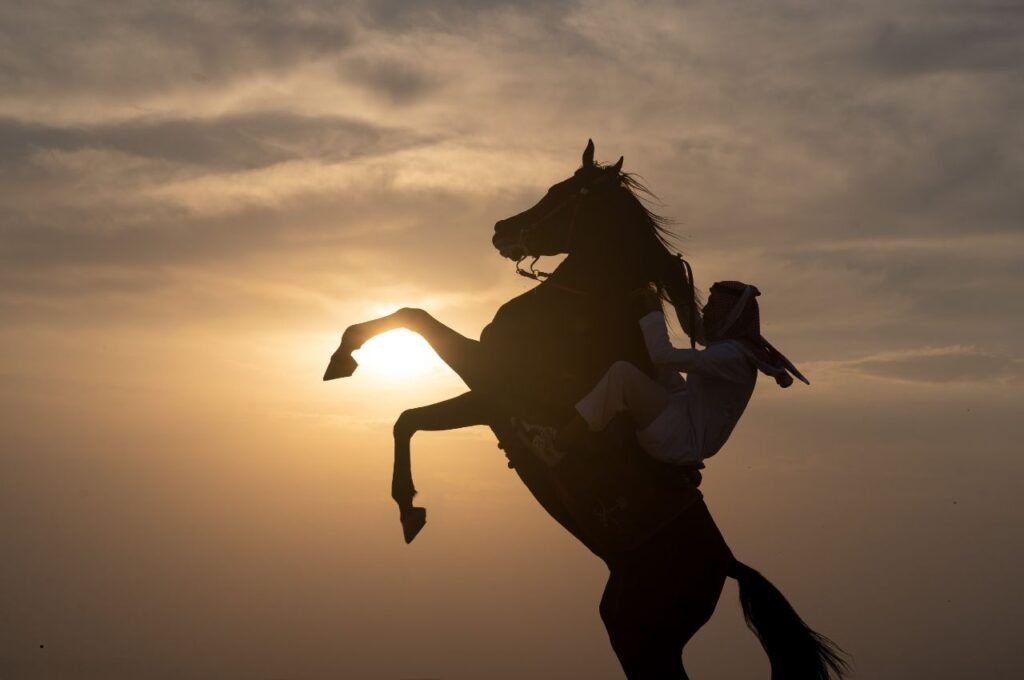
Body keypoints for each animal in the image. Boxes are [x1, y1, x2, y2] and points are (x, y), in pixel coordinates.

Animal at [326, 140, 849, 679]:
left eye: (559, 192)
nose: (500, 229)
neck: (580, 313)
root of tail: (726, 563)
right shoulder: (488, 401)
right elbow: (407, 417)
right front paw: (409, 506)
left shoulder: (491, 376)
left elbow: (413, 322)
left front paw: (344, 357)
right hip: (628, 628)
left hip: (643, 637)